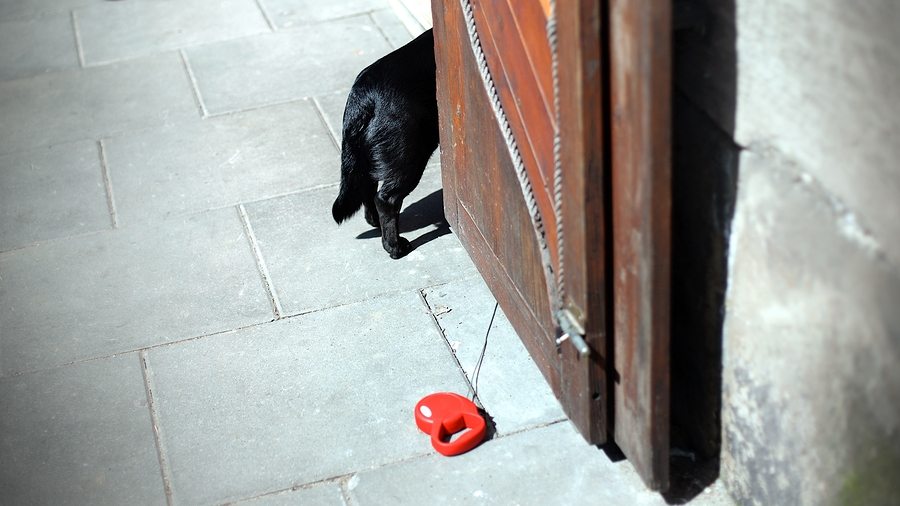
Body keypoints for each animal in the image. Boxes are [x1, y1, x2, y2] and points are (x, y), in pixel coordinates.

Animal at [334, 29, 440, 258]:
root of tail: (363, 96)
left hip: (367, 159)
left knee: (368, 189)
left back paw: (375, 223)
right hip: (408, 157)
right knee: (386, 199)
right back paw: (394, 246)